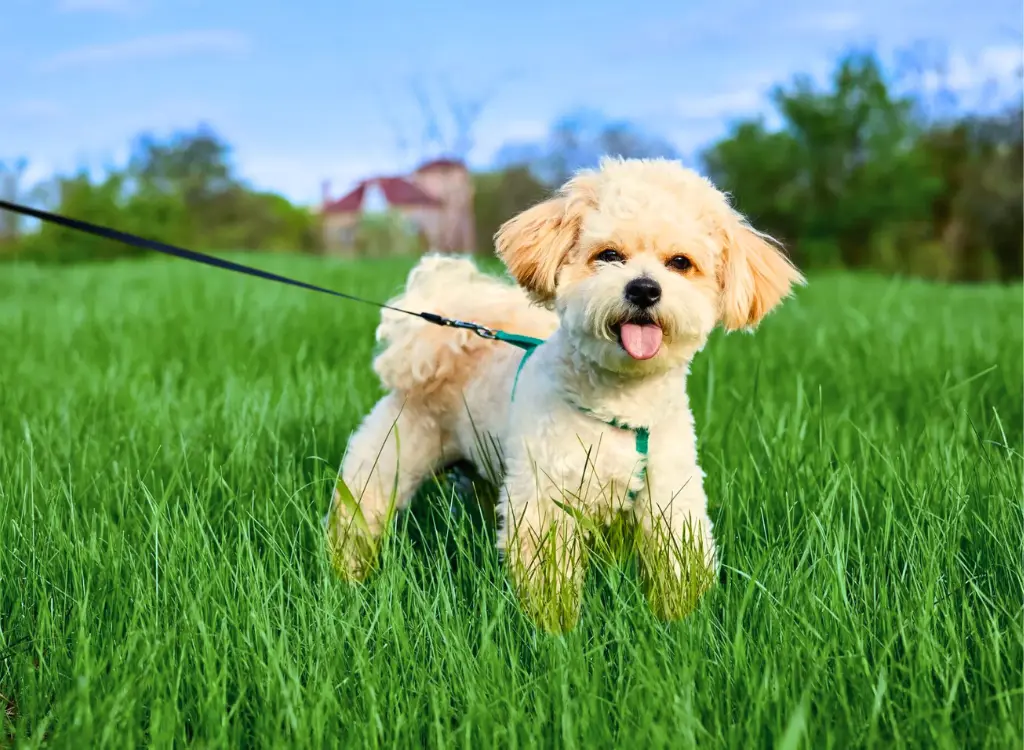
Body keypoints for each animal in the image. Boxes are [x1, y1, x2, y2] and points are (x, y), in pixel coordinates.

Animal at [323, 157, 802, 631]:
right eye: (608, 255)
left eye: (680, 262)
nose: (644, 289)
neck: (622, 408)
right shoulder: (545, 502)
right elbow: (549, 580)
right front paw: (555, 634)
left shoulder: (670, 496)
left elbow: (677, 565)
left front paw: (682, 624)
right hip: (385, 463)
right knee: (356, 517)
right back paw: (348, 577)